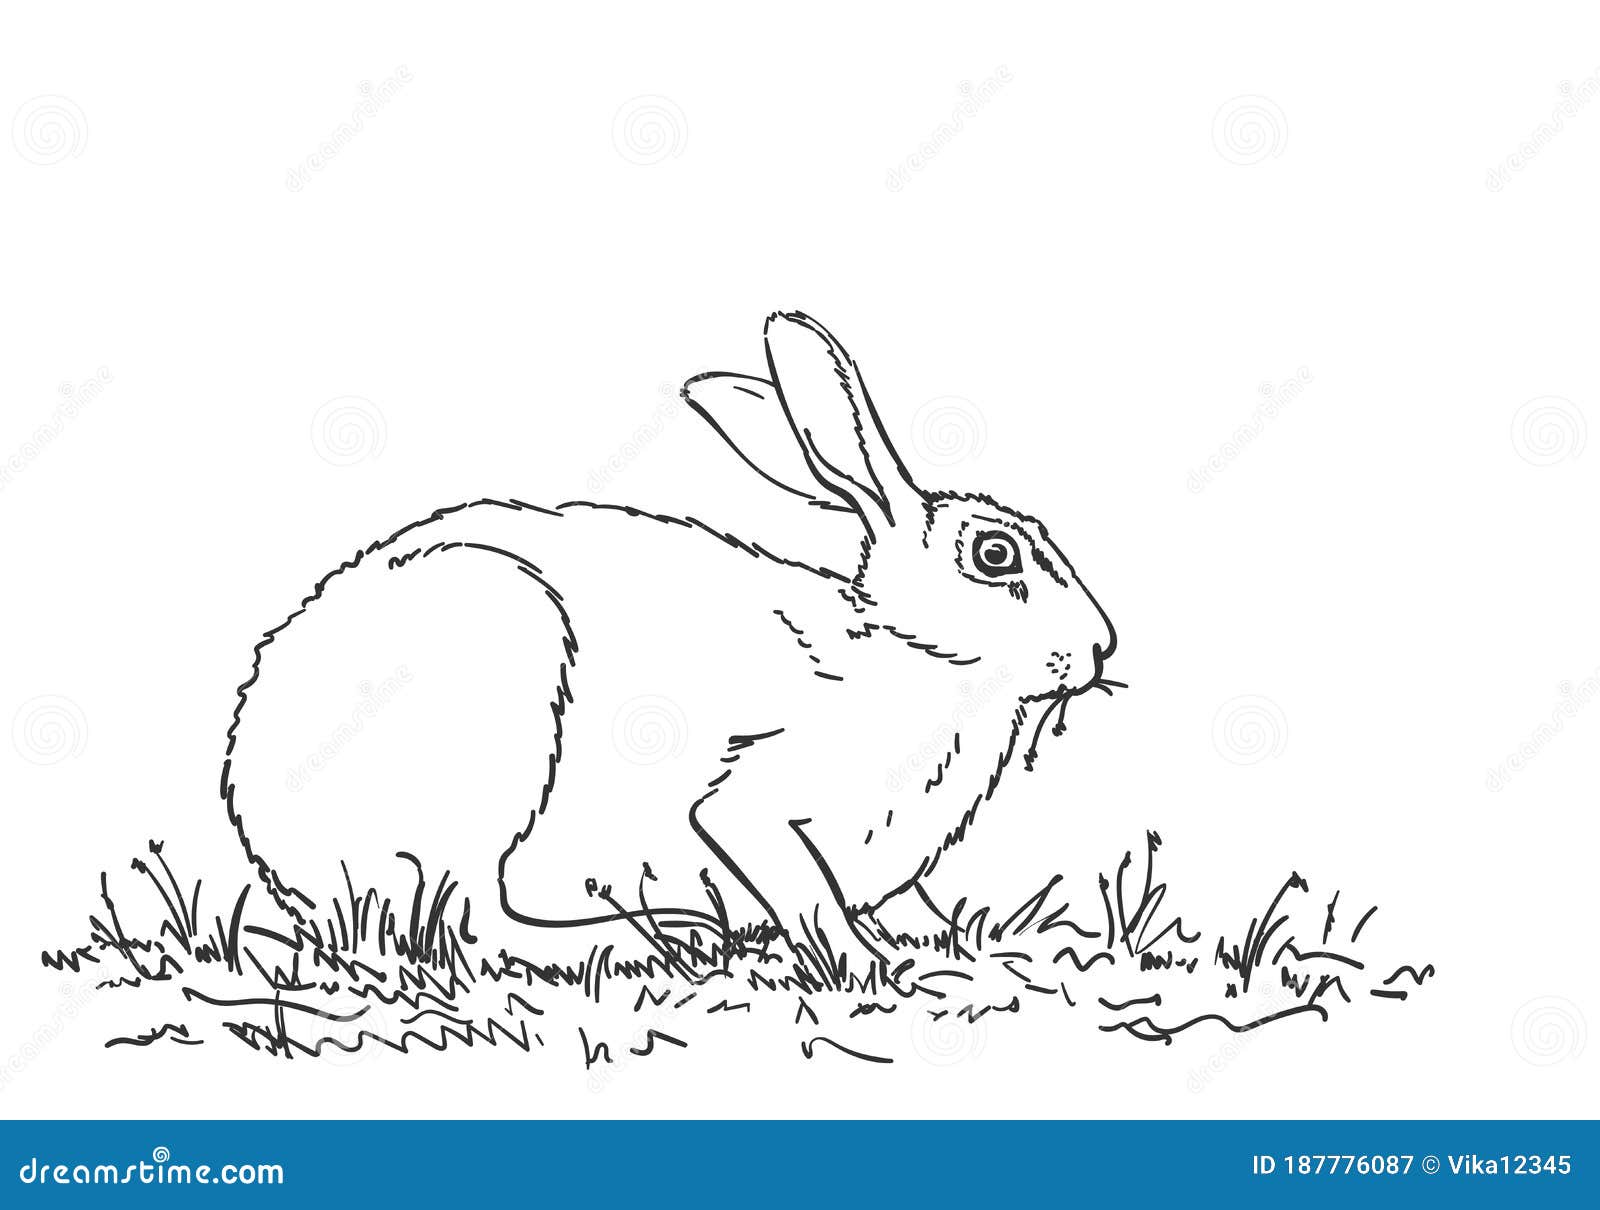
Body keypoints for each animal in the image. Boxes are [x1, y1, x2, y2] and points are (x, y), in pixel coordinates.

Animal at [221, 312, 1116, 989]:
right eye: (994, 556)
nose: (1102, 648)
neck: (908, 650)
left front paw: (939, 942)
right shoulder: (753, 800)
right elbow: (803, 886)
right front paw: (871, 967)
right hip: (500, 692)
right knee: (464, 918)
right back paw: (638, 939)